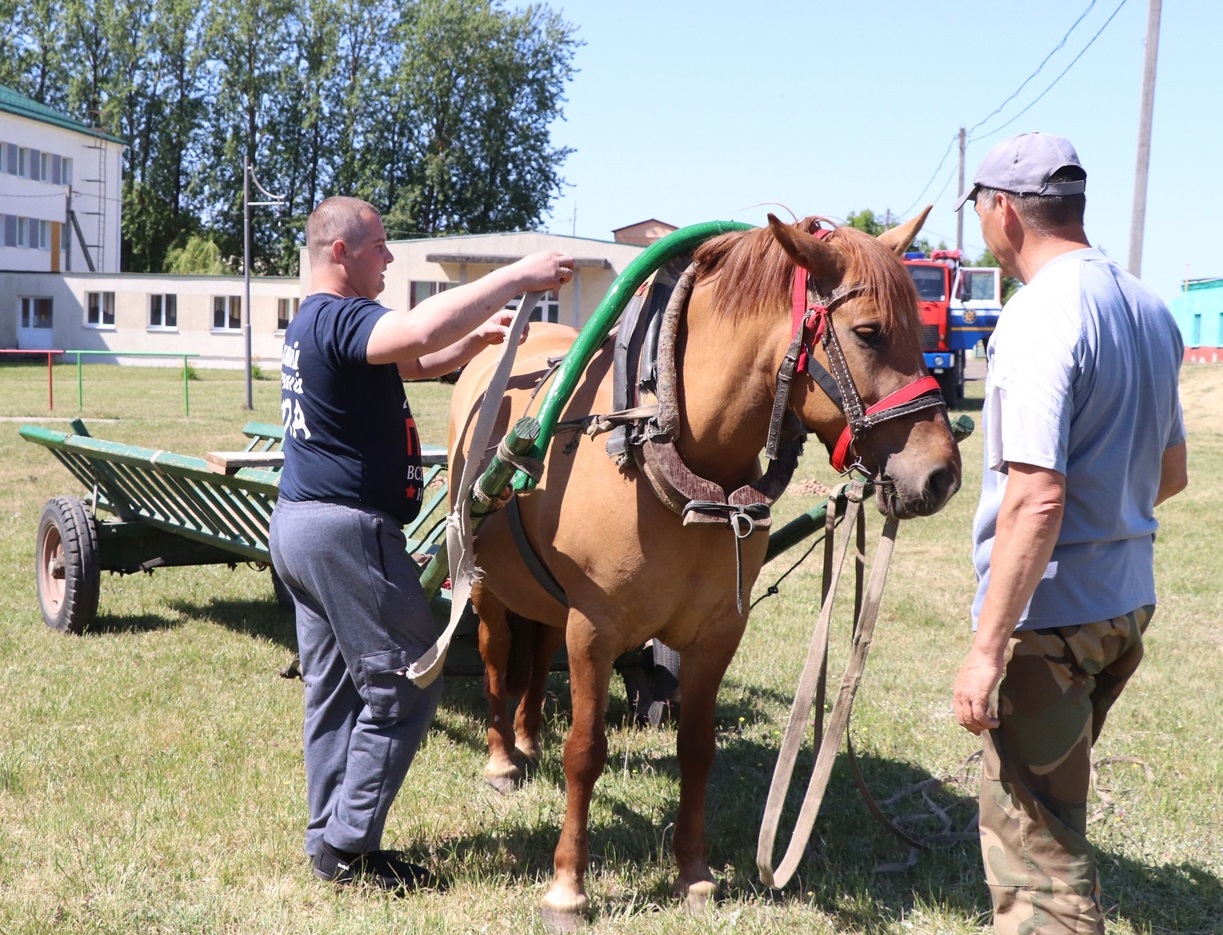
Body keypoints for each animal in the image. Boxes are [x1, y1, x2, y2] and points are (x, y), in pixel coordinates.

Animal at [445, 207, 958, 924]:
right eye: (869, 332)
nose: (940, 474)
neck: (659, 447)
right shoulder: (592, 630)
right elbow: (586, 750)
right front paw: (568, 884)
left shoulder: (716, 633)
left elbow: (697, 747)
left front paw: (692, 870)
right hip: (483, 580)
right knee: (497, 657)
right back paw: (501, 757)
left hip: (545, 594)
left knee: (536, 650)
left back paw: (526, 738)